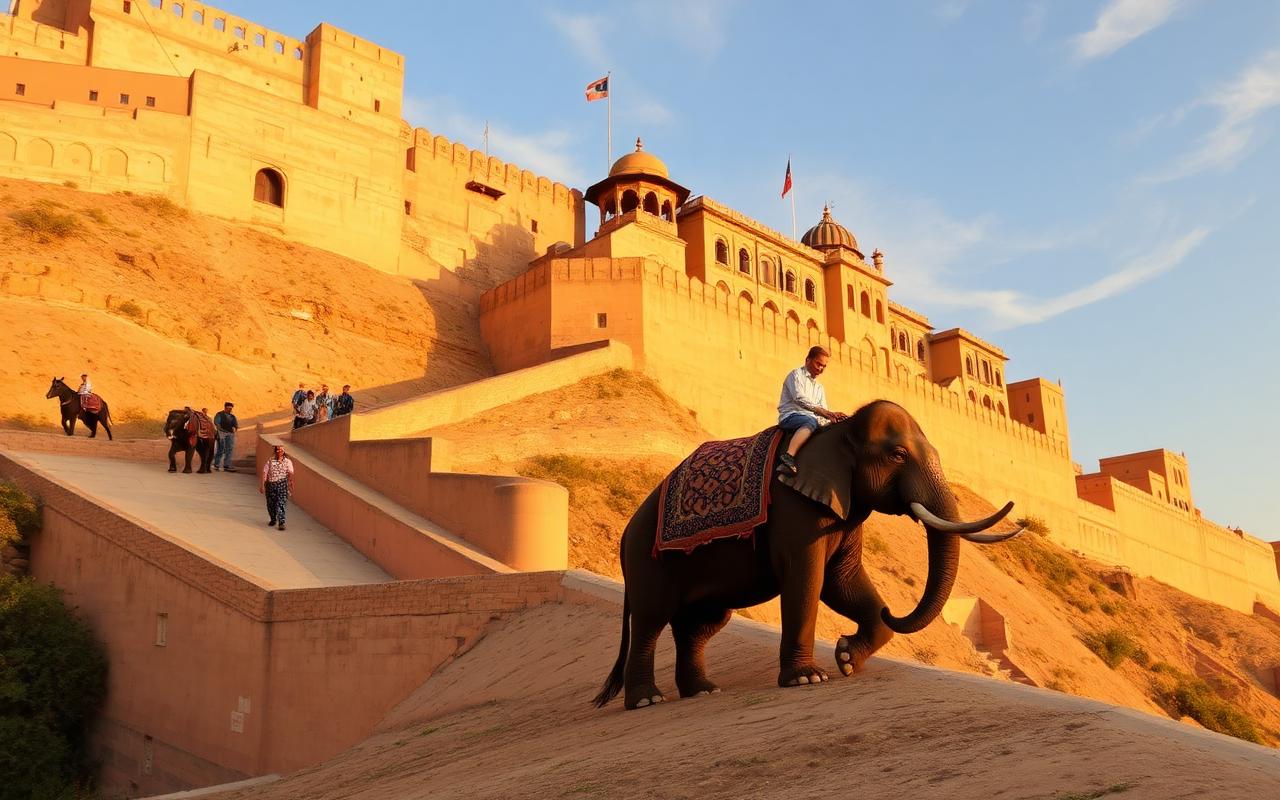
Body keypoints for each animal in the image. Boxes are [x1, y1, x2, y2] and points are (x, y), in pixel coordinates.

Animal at [593, 399, 1022, 710]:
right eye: (898, 454)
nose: (892, 610)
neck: (838, 432)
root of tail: (626, 532)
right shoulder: (794, 509)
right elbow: (807, 580)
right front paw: (807, 679)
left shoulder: (841, 512)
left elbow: (842, 582)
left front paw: (847, 659)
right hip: (648, 560)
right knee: (651, 621)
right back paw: (647, 701)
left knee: (700, 625)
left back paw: (702, 691)